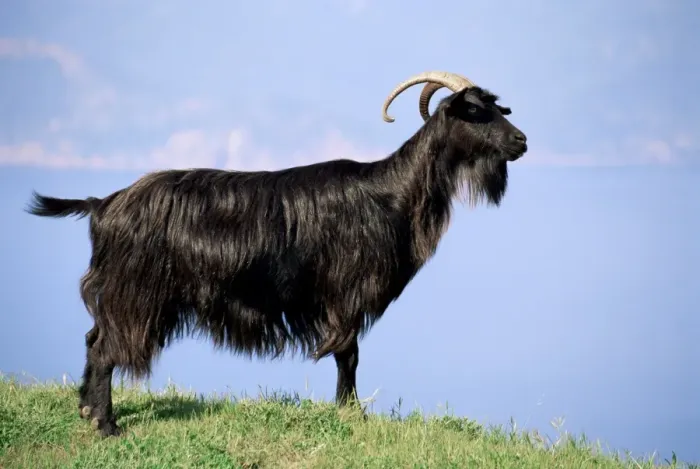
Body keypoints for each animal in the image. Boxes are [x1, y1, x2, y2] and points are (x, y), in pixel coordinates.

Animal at [26, 71, 528, 437]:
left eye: (497, 107)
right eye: (475, 112)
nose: (522, 141)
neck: (389, 193)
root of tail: (104, 203)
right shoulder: (343, 294)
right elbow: (349, 354)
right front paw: (351, 413)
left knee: (93, 339)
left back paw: (86, 411)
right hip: (135, 293)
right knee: (106, 347)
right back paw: (107, 425)